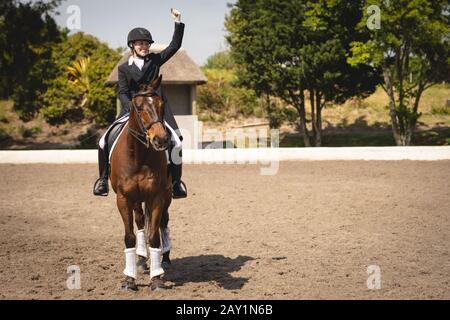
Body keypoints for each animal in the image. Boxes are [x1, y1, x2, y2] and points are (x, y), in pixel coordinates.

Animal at [109, 75, 172, 292]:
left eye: (161, 104)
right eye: (138, 106)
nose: (161, 139)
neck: (138, 156)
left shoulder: (157, 196)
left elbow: (154, 235)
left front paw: (157, 278)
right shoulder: (123, 198)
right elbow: (130, 236)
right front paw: (129, 279)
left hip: (167, 195)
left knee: (163, 222)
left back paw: (165, 257)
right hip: (136, 200)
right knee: (139, 221)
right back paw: (142, 258)